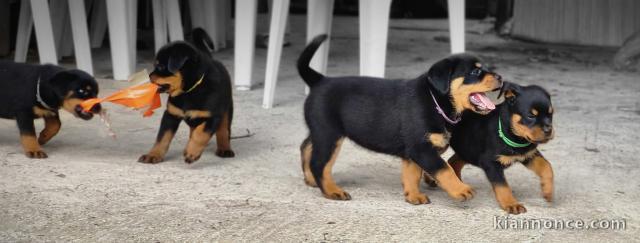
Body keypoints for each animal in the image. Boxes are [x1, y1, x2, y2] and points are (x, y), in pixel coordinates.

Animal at [138, 29, 235, 165]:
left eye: (161, 67)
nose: (149, 77)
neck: (188, 91)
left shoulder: (212, 116)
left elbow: (201, 134)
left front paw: (191, 152)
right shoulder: (170, 115)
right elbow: (162, 138)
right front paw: (153, 155)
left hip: (227, 108)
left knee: (224, 129)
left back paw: (224, 149)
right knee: (194, 129)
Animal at [300, 35, 504, 204]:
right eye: (475, 73)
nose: (501, 77)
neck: (436, 102)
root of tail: (320, 80)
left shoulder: (412, 151)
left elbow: (412, 174)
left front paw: (414, 196)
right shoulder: (420, 148)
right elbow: (444, 168)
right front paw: (461, 190)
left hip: (322, 130)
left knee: (306, 146)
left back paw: (310, 179)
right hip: (329, 134)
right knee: (319, 164)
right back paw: (332, 191)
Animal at [422, 82, 552, 215]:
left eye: (551, 114)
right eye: (531, 116)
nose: (549, 130)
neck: (513, 135)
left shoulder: (528, 154)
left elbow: (547, 166)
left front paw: (547, 191)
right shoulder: (491, 163)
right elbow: (502, 186)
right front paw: (511, 204)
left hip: (468, 149)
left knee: (452, 161)